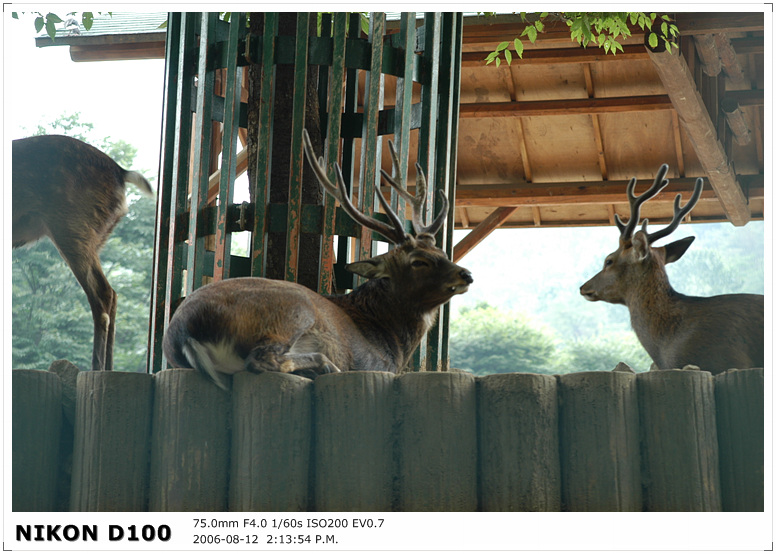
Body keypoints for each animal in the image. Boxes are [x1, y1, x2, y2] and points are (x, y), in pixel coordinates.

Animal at [12, 133, 154, 370]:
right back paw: (109, 368)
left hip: (73, 226)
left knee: (102, 293)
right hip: (92, 235)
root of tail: (122, 172)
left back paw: (95, 367)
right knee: (113, 294)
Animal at [162, 129, 472, 388]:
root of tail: (183, 333)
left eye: (442, 253)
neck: (390, 341)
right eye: (419, 261)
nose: (466, 274)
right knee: (262, 359)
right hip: (290, 310)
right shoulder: (373, 363)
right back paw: (324, 366)